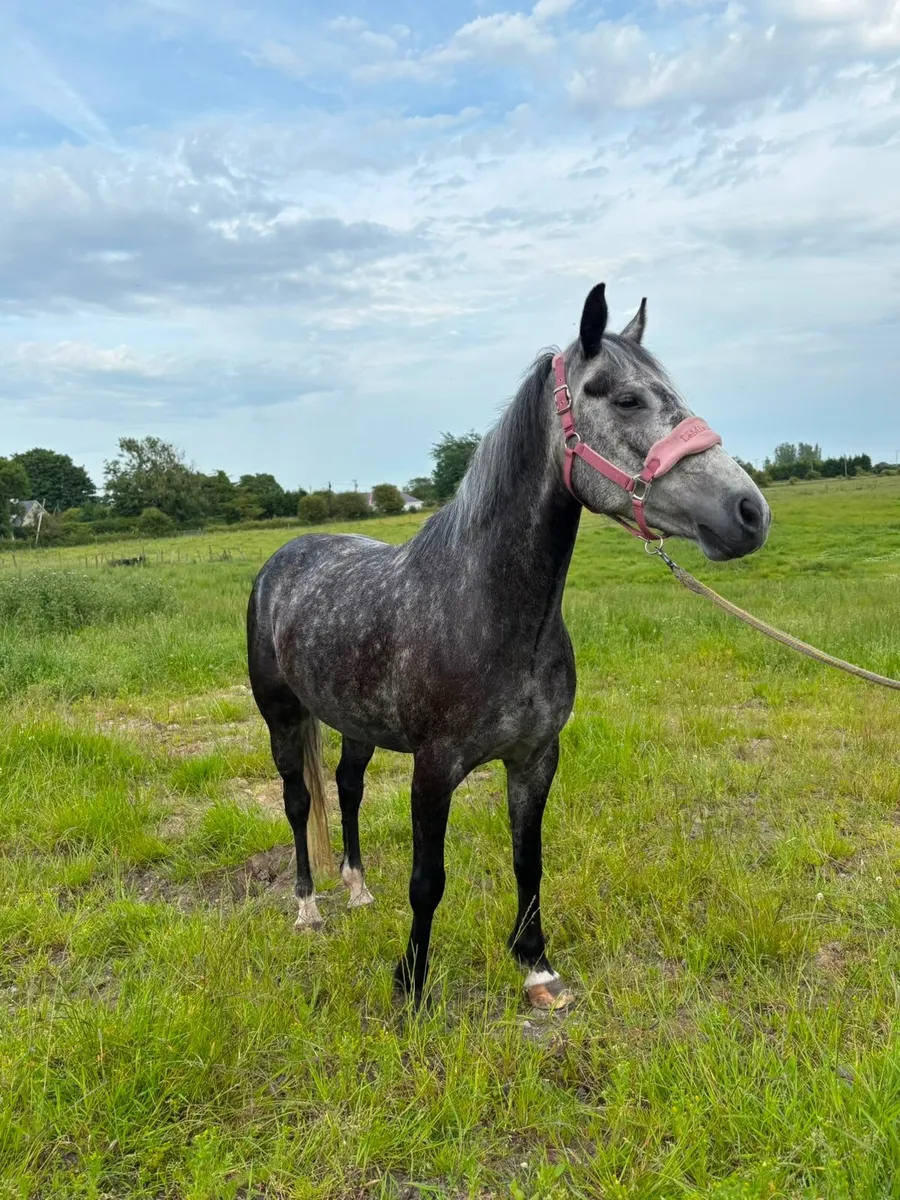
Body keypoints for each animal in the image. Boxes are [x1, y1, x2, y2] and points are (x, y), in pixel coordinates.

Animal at [247, 283, 770, 1010]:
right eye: (624, 398)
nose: (749, 513)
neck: (490, 613)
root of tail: (284, 557)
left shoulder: (534, 759)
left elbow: (529, 861)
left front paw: (537, 967)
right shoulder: (433, 770)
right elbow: (427, 880)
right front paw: (411, 986)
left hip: (354, 721)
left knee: (347, 788)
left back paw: (356, 890)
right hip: (283, 717)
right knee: (298, 802)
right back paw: (308, 908)